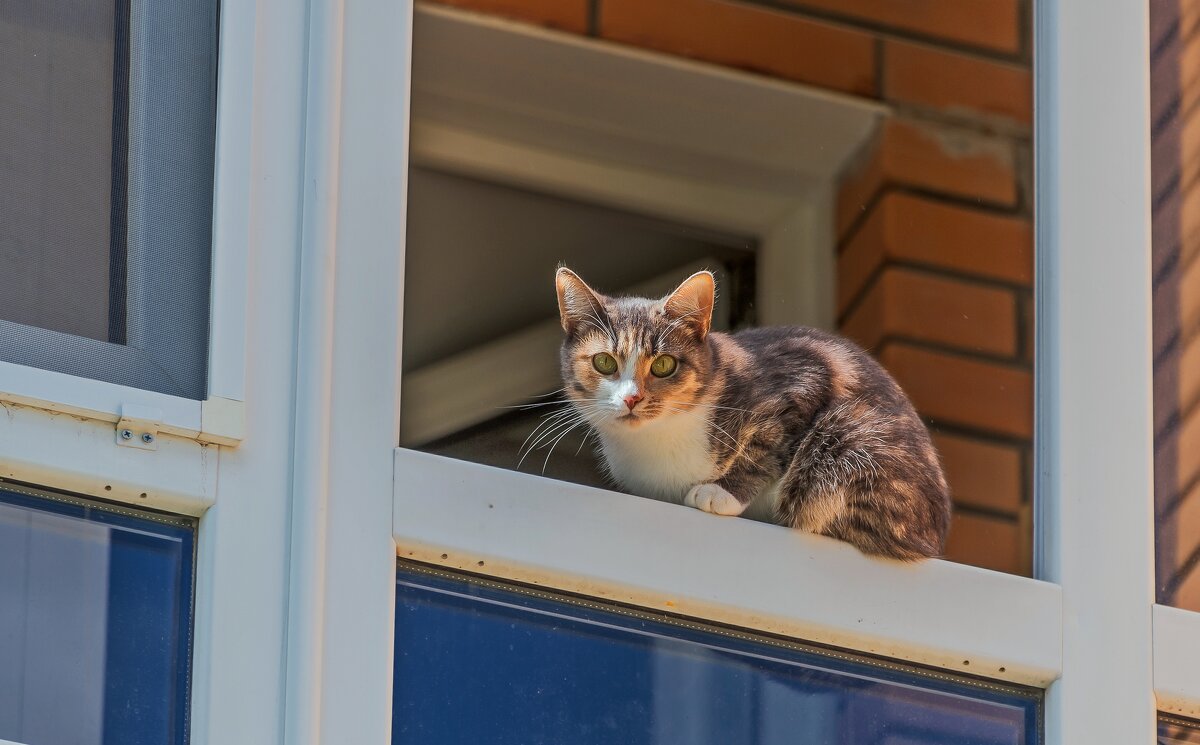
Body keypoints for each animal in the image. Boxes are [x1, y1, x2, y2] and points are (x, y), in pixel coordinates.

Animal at [554, 267, 955, 556]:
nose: (632, 398)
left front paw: (722, 492)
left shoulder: (805, 379)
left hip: (851, 437)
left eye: (664, 364)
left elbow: (763, 447)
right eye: (604, 362)